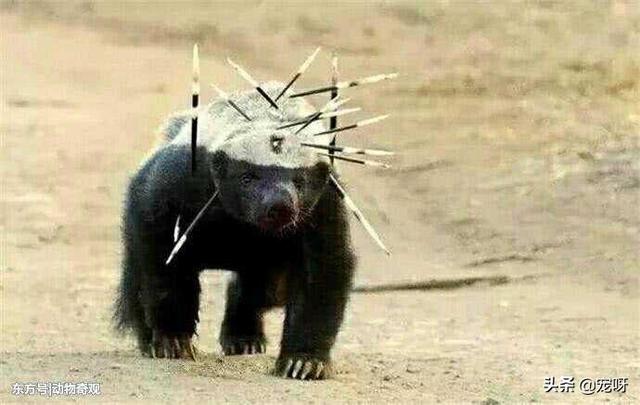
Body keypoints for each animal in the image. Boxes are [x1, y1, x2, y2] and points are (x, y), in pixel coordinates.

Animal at [114, 82, 356, 380]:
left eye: (299, 182)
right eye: (247, 178)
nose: (279, 205)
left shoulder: (324, 204)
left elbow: (323, 269)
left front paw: (303, 362)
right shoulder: (183, 180)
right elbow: (163, 252)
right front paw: (174, 340)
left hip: (267, 262)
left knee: (261, 290)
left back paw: (244, 339)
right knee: (138, 278)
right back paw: (149, 339)